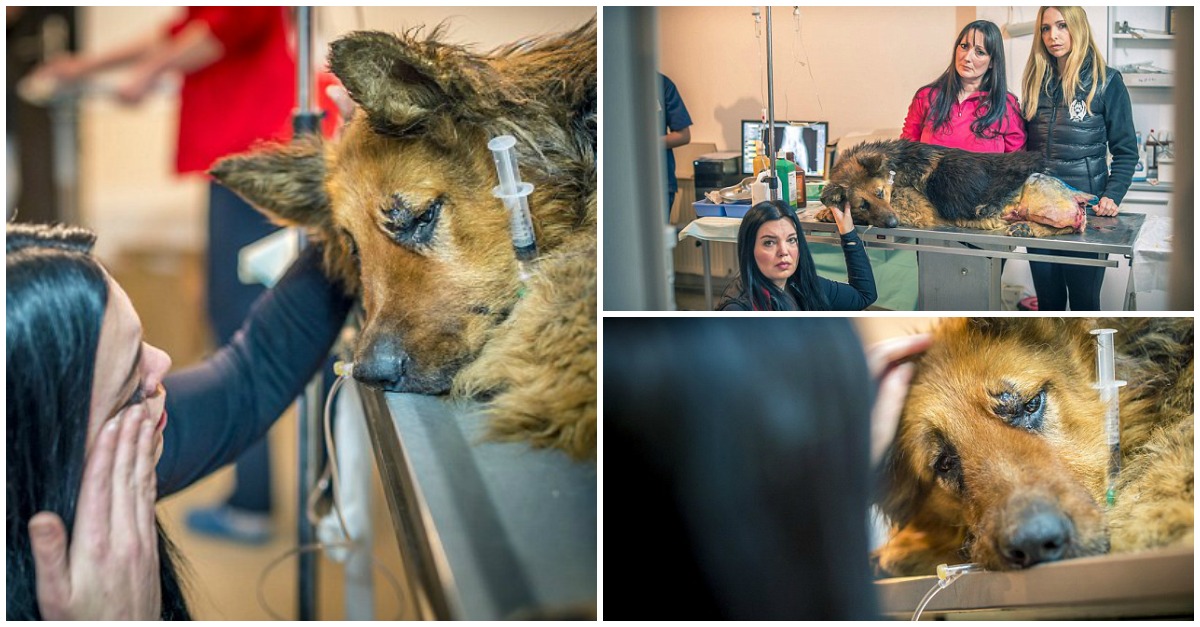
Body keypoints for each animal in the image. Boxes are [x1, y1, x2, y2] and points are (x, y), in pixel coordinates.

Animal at [820, 139, 1094, 236]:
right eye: (863, 205)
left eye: (879, 193)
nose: (893, 224)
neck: (895, 166)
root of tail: (1075, 193)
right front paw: (826, 210)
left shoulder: (916, 209)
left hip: (1039, 200)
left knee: (1070, 227)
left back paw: (1025, 228)